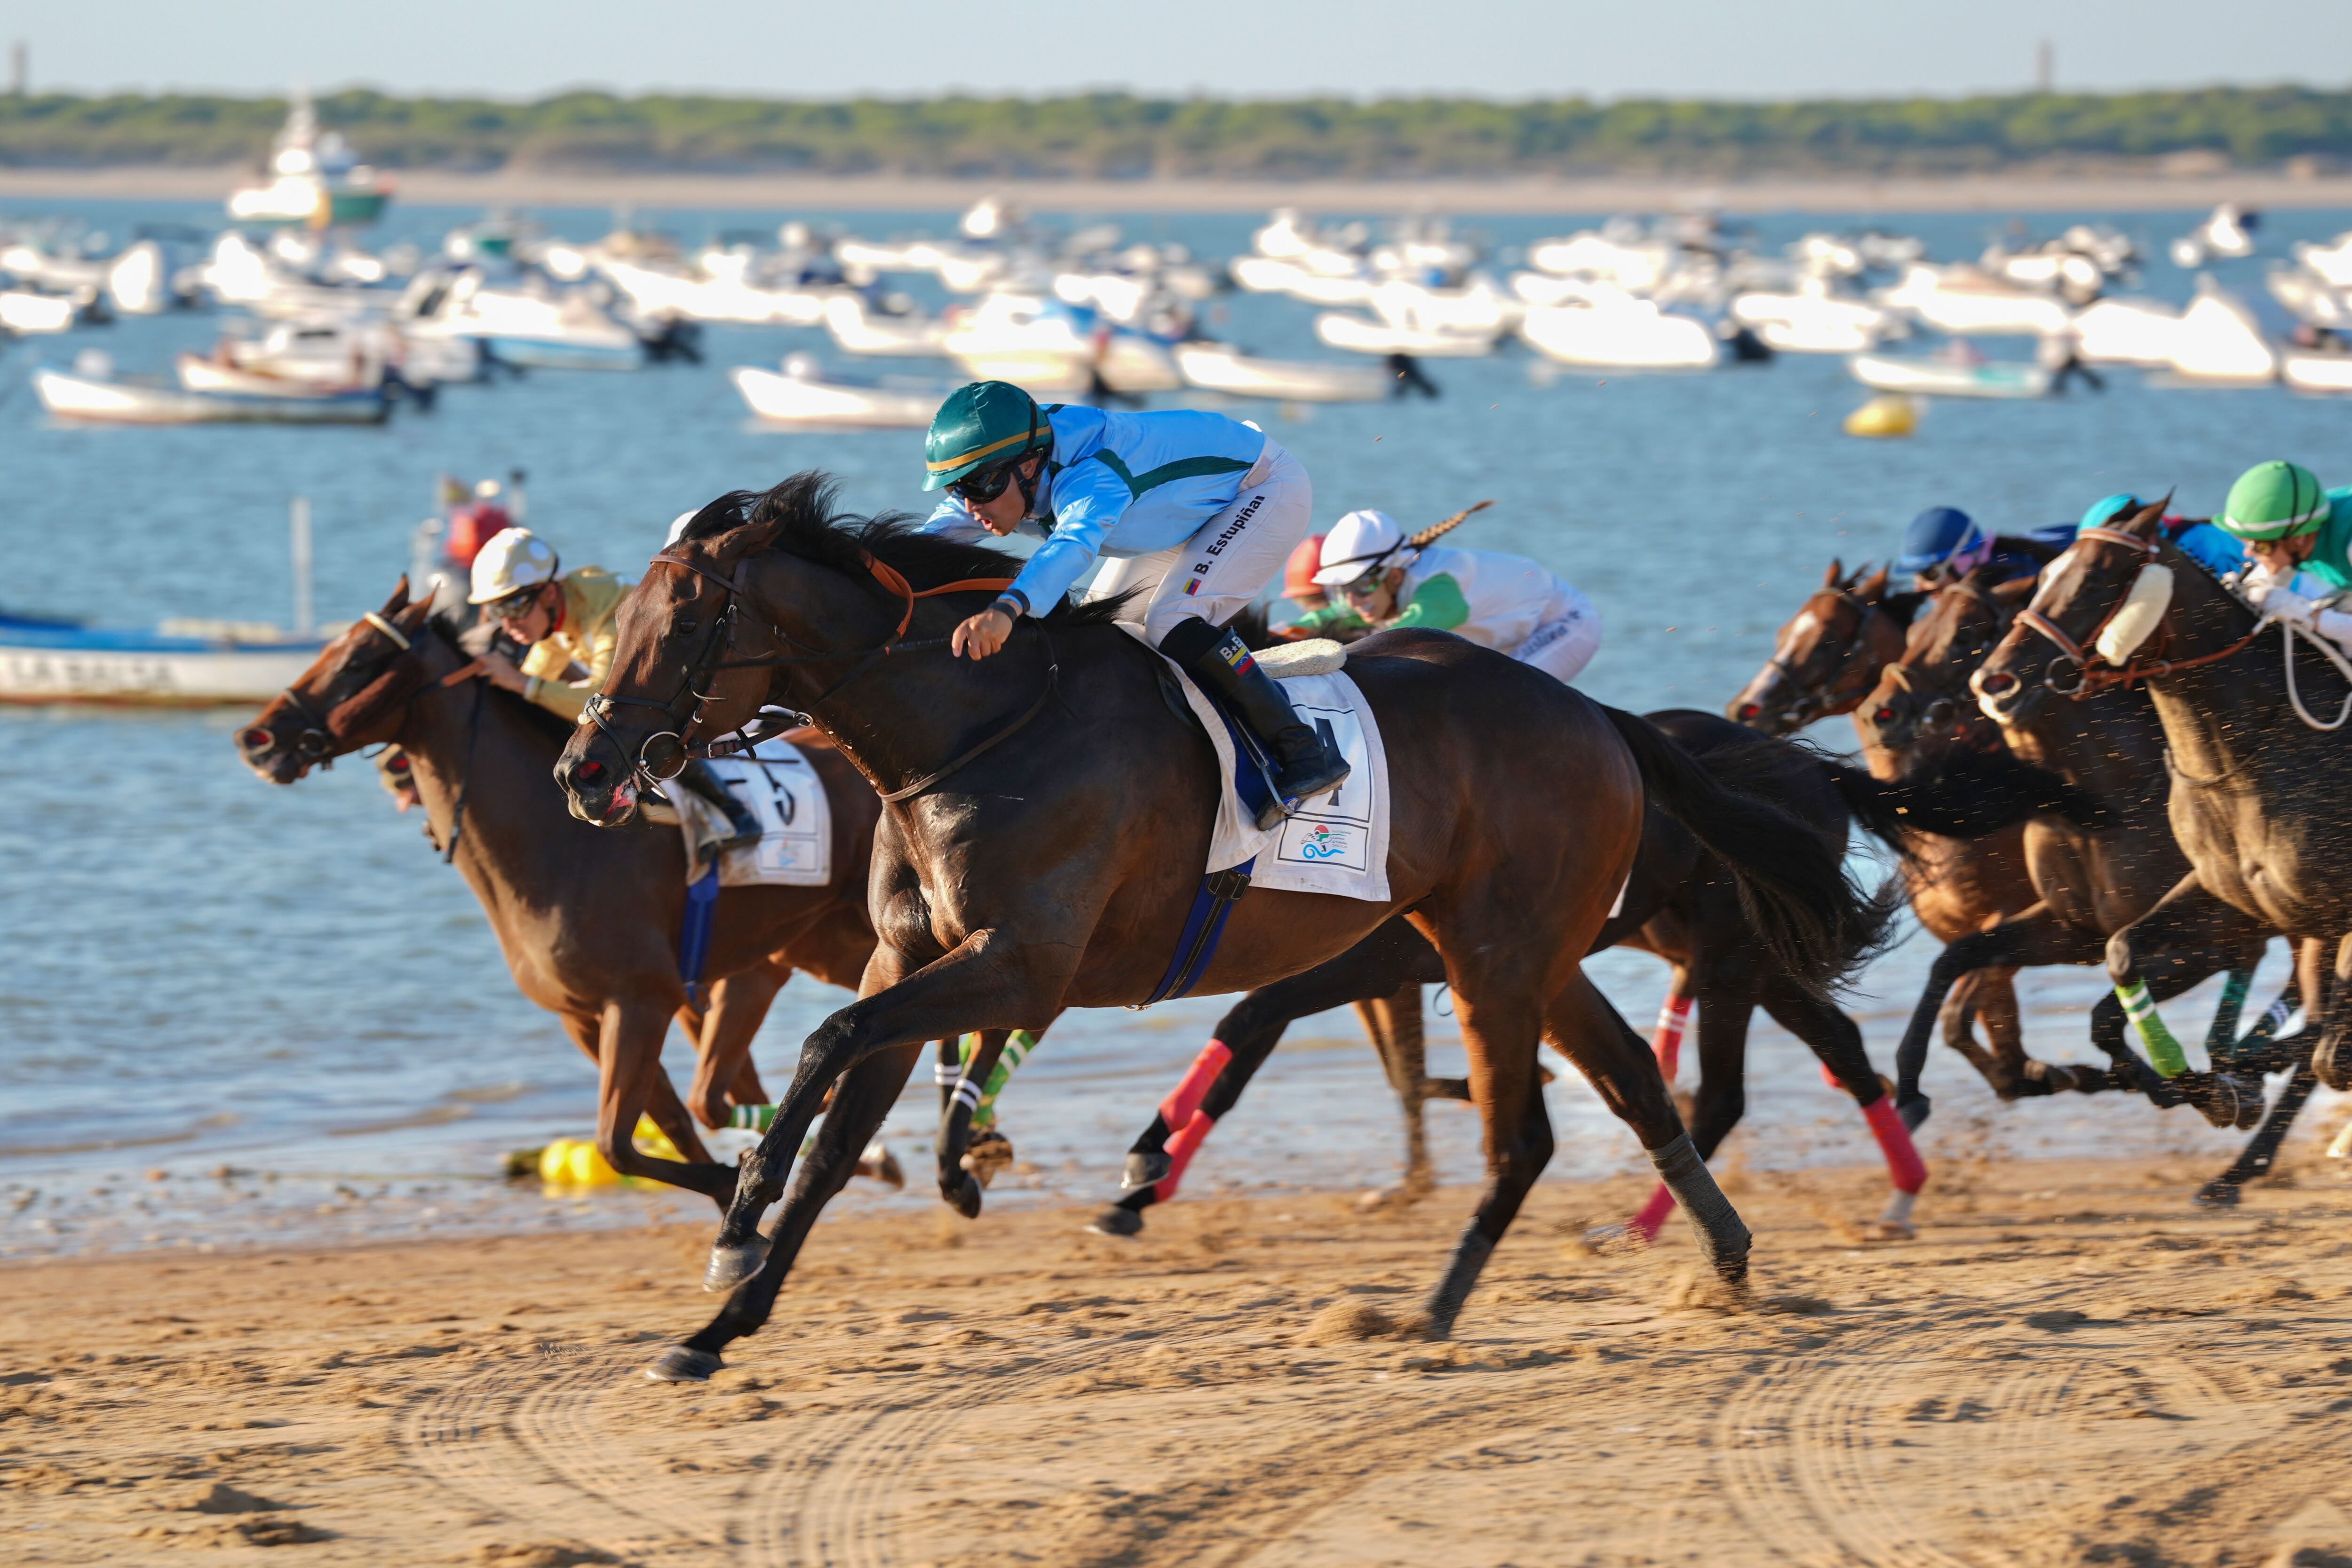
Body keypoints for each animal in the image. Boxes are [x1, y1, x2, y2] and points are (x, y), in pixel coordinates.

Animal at [236, 583, 884, 1213]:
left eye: (357, 661)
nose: (255, 737)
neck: (560, 848)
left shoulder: (640, 1000)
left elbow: (617, 1142)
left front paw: (737, 1179)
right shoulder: (585, 1014)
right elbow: (664, 1126)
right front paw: (729, 1182)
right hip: (830, 947)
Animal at [555, 482, 1891, 1382]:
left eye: (685, 623)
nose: (585, 769)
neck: (976, 725)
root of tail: (1602, 719)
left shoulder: (1017, 967)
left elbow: (827, 1046)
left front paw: (736, 1229)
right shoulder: (916, 956)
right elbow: (838, 1137)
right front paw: (717, 1325)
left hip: (1494, 959)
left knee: (1525, 1139)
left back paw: (1431, 1316)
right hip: (1531, 953)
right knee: (1636, 1089)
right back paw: (1725, 1262)